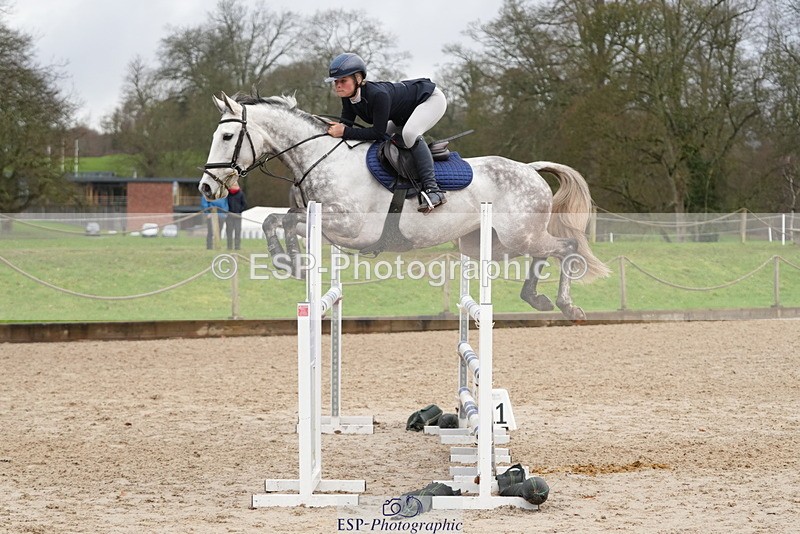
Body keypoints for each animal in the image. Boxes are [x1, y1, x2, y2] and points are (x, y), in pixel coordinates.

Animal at [198, 91, 610, 320]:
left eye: (228, 135)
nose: (206, 186)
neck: (323, 156)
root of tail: (529, 168)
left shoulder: (349, 229)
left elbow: (281, 221)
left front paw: (292, 262)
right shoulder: (326, 224)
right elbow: (275, 220)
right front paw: (291, 262)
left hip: (519, 235)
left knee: (566, 248)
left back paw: (564, 305)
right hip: (494, 244)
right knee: (546, 253)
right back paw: (535, 298)